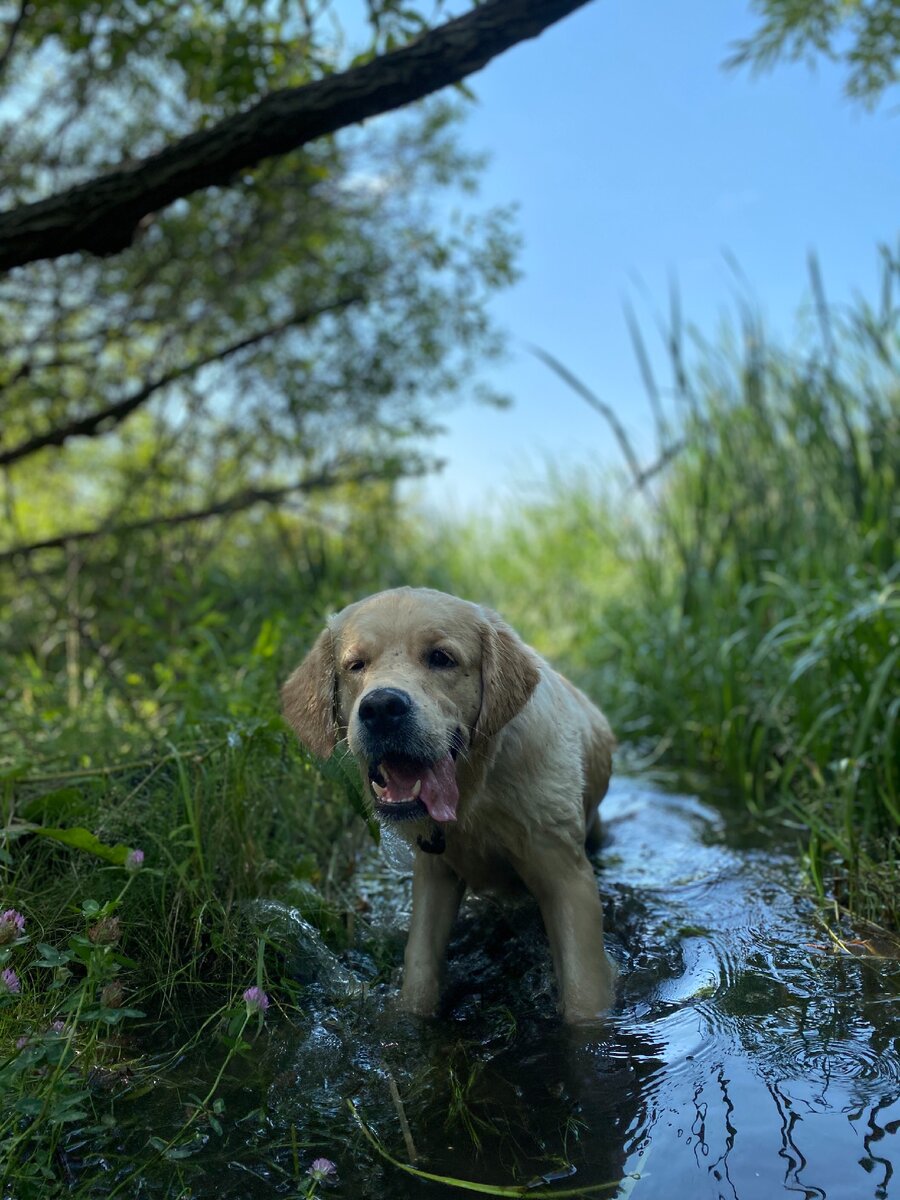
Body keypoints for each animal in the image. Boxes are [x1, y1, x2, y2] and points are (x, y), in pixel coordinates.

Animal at [285, 585, 619, 1017]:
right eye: (355, 664)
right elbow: (419, 965)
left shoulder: (565, 875)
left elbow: (584, 992)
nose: (381, 707)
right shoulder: (434, 874)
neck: (474, 794)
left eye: (441, 658)